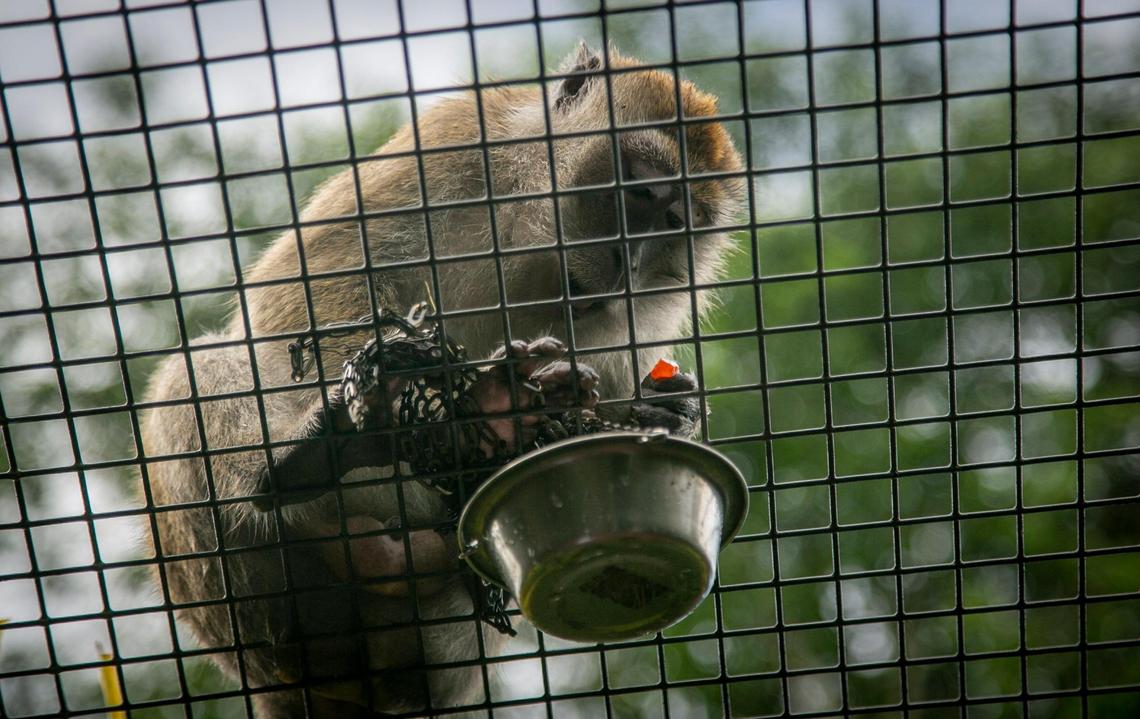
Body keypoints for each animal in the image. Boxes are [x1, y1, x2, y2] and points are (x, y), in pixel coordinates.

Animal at [140, 43, 743, 717]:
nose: (628, 262)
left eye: (672, 223)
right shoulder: (451, 147)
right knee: (197, 371)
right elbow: (300, 307)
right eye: (640, 191)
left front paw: (666, 412)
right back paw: (313, 458)